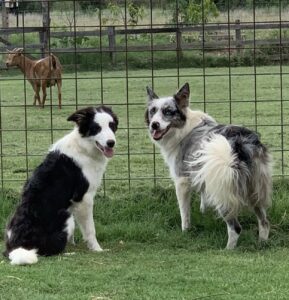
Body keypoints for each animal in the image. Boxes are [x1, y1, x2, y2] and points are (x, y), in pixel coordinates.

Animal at [3, 105, 118, 264]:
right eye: (96, 128)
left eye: (112, 126)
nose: (111, 143)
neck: (83, 147)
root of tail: (17, 247)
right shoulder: (84, 199)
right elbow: (90, 229)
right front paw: (97, 249)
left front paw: (74, 244)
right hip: (66, 216)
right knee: (49, 251)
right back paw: (69, 254)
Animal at [145, 83, 272, 250]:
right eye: (152, 111)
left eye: (168, 112)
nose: (154, 125)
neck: (183, 129)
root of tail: (240, 142)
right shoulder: (204, 176)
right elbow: (203, 200)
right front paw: (204, 214)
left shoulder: (182, 181)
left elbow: (184, 213)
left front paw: (185, 232)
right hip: (254, 189)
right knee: (264, 222)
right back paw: (262, 244)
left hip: (224, 191)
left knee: (236, 228)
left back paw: (228, 250)